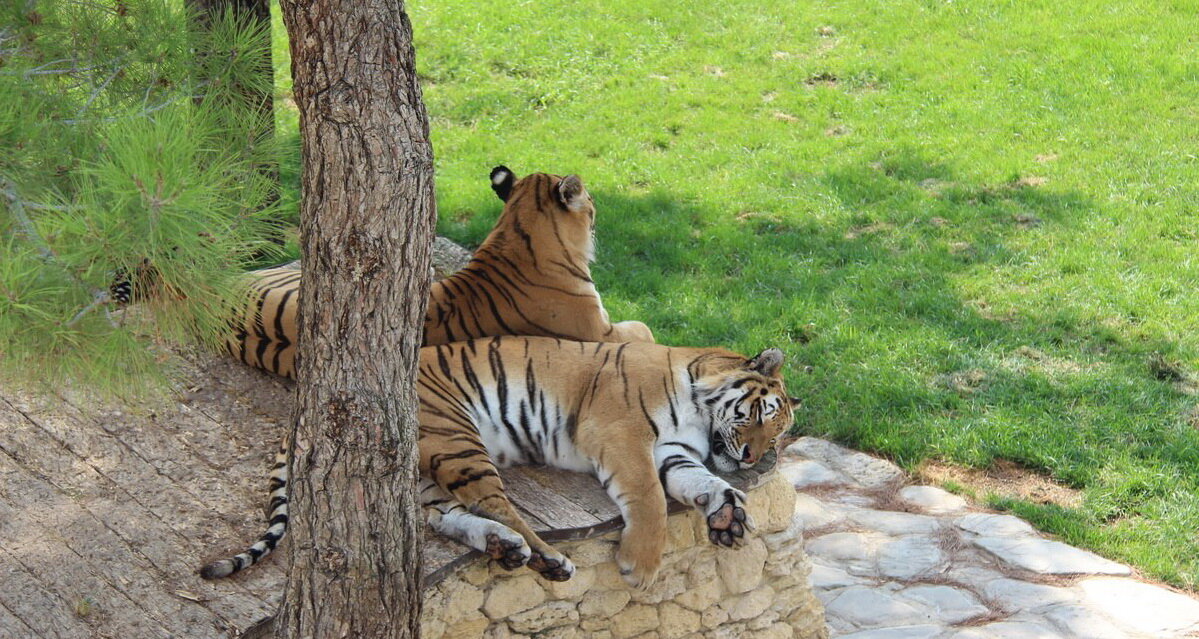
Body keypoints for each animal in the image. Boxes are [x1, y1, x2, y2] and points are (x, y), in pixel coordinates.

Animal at [202, 333, 800, 587]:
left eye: (778, 438)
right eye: (760, 413)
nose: (753, 458)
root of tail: (307, 403)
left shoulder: (674, 451)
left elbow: (697, 482)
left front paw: (728, 511)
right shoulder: (622, 433)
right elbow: (649, 500)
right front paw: (641, 566)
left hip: (425, 466)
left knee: (441, 516)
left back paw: (503, 547)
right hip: (456, 438)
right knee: (496, 505)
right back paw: (547, 559)